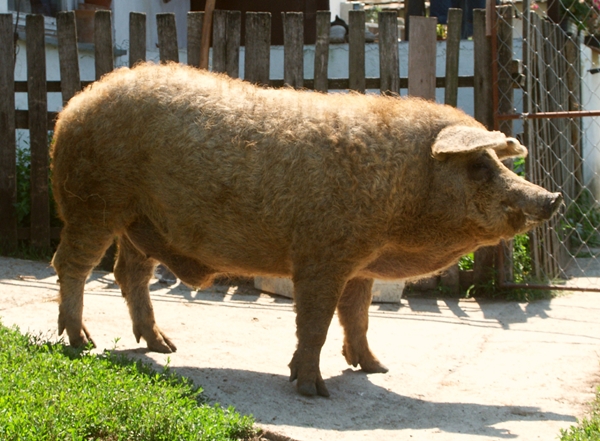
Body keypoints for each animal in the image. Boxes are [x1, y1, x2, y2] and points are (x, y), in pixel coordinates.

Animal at [50, 61, 564, 396]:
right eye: (479, 166)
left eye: (497, 160)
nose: (552, 198)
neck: (402, 187)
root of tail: (75, 104)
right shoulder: (322, 255)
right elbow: (315, 322)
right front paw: (315, 391)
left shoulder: (360, 265)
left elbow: (358, 318)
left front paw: (377, 370)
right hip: (92, 204)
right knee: (71, 265)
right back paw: (81, 343)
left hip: (141, 221)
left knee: (129, 274)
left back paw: (164, 347)